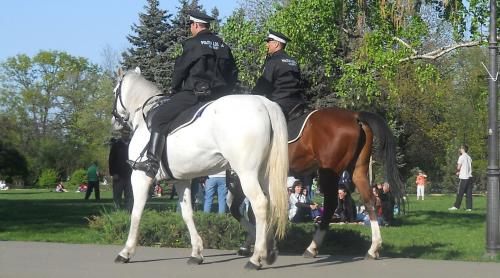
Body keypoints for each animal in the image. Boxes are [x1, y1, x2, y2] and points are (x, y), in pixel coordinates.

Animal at [109, 68, 290, 270]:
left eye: (115, 90)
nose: (113, 120)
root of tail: (264, 102)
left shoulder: (140, 176)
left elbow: (136, 212)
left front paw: (126, 251)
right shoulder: (181, 180)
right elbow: (187, 214)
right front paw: (196, 252)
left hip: (247, 174)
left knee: (260, 205)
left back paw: (256, 257)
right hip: (265, 175)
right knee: (272, 204)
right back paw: (270, 248)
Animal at [229, 107, 404, 260]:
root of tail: (354, 115)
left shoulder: (245, 175)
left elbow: (239, 209)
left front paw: (255, 242)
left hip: (329, 172)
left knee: (331, 204)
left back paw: (312, 247)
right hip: (358, 170)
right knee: (369, 201)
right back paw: (373, 248)